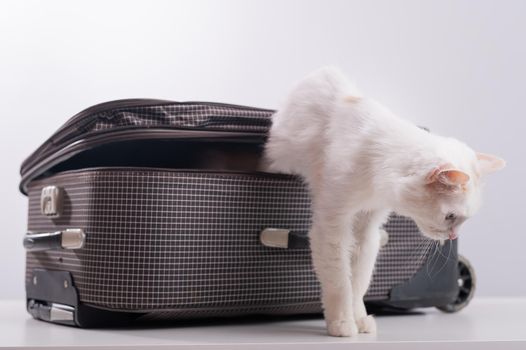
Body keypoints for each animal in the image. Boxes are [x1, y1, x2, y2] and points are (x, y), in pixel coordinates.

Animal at [266, 67, 506, 338]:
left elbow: (358, 283)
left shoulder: (367, 230)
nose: (453, 237)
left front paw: (360, 319)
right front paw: (342, 323)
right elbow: (340, 282)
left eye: (464, 220)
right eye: (451, 217)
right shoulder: (333, 226)